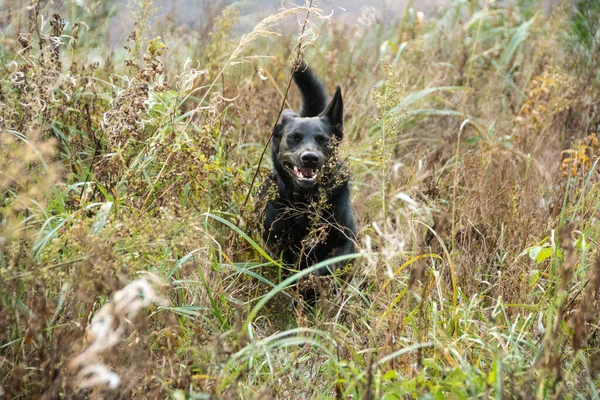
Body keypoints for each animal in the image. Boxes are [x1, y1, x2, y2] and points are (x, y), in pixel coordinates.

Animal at [262, 65, 356, 278]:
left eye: (322, 139)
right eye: (293, 137)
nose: (310, 157)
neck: (307, 201)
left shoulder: (344, 241)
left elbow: (328, 266)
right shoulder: (278, 245)